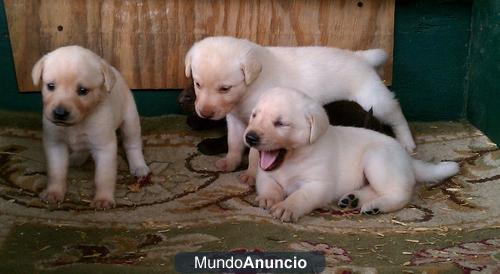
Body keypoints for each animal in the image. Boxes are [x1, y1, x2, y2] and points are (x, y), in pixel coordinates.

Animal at [32, 46, 149, 209]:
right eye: (50, 86)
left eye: (83, 91)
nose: (60, 113)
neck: (79, 122)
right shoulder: (55, 144)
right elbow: (56, 172)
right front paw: (53, 192)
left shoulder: (104, 147)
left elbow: (103, 176)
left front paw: (103, 199)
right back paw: (76, 158)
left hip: (130, 121)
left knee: (132, 145)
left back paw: (139, 166)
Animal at [186, 36, 416, 182]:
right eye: (197, 84)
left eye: (225, 88)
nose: (204, 113)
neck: (252, 86)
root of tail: (361, 57)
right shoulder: (235, 120)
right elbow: (233, 142)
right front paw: (230, 162)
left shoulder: (259, 126)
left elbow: (253, 153)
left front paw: (251, 174)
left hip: (374, 100)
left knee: (396, 113)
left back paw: (407, 142)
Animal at [244, 88, 458, 223]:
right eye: (254, 115)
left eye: (281, 123)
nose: (250, 137)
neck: (292, 160)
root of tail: (408, 160)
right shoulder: (266, 175)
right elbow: (268, 185)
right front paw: (268, 198)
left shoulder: (319, 185)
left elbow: (301, 195)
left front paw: (287, 207)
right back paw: (354, 199)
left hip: (377, 160)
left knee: (400, 193)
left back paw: (376, 206)